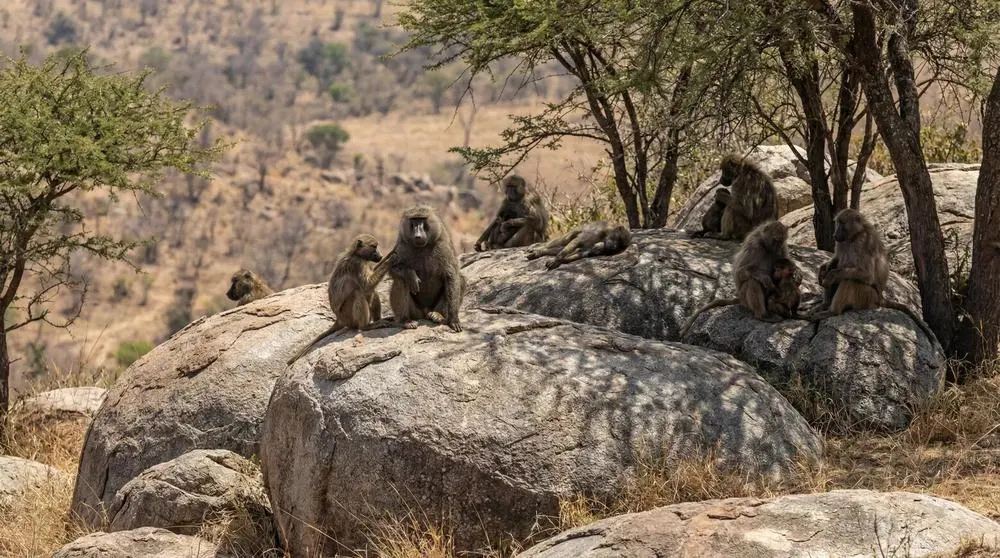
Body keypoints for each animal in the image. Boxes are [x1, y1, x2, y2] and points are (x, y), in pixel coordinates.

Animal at [287, 234, 394, 365]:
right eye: (374, 246)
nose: (380, 255)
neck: (356, 254)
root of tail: (339, 319)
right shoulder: (357, 265)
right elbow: (367, 285)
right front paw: (390, 259)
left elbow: (370, 283)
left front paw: (390, 254)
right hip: (348, 316)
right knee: (358, 293)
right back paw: (366, 326)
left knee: (372, 292)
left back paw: (379, 320)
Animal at [810, 208, 937, 343]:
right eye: (837, 223)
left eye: (842, 223)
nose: (835, 235)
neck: (854, 236)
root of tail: (880, 297)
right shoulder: (841, 243)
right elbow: (836, 260)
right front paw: (823, 268)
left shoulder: (863, 241)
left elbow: (867, 274)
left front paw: (830, 275)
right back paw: (824, 305)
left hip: (867, 297)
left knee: (849, 280)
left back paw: (833, 311)